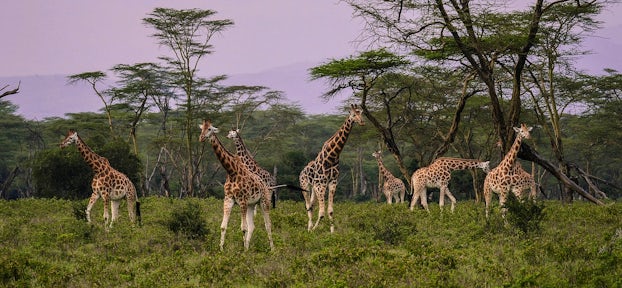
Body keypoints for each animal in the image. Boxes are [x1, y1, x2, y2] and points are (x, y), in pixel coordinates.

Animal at [298, 103, 364, 232]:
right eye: (354, 114)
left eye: (361, 112)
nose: (362, 121)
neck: (332, 156)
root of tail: (302, 172)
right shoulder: (321, 184)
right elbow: (322, 213)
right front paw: (314, 230)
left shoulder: (332, 182)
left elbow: (330, 211)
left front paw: (332, 232)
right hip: (305, 185)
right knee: (308, 206)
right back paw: (309, 228)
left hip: (314, 187)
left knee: (311, 205)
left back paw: (309, 227)